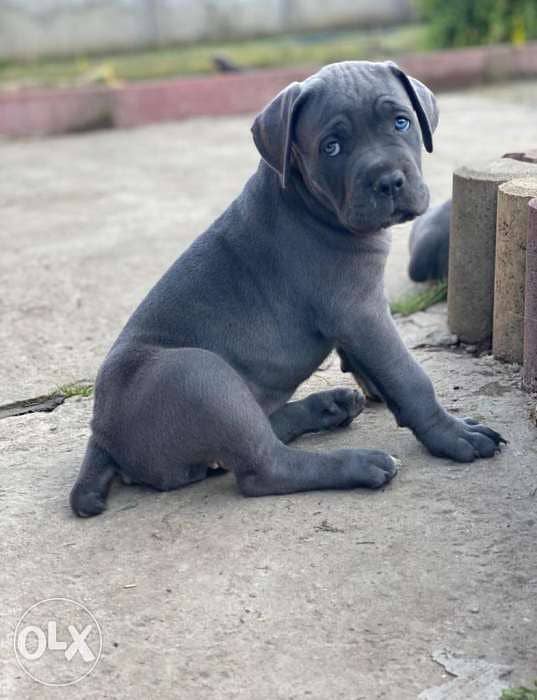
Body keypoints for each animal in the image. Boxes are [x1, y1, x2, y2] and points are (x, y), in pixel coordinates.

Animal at [70, 60, 502, 516]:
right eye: (331, 147)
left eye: (401, 122)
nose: (388, 182)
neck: (307, 200)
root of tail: (101, 435)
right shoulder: (361, 310)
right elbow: (409, 376)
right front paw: (453, 434)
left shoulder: (355, 316)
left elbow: (371, 365)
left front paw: (377, 391)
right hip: (199, 374)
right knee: (264, 468)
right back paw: (359, 463)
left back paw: (329, 407)